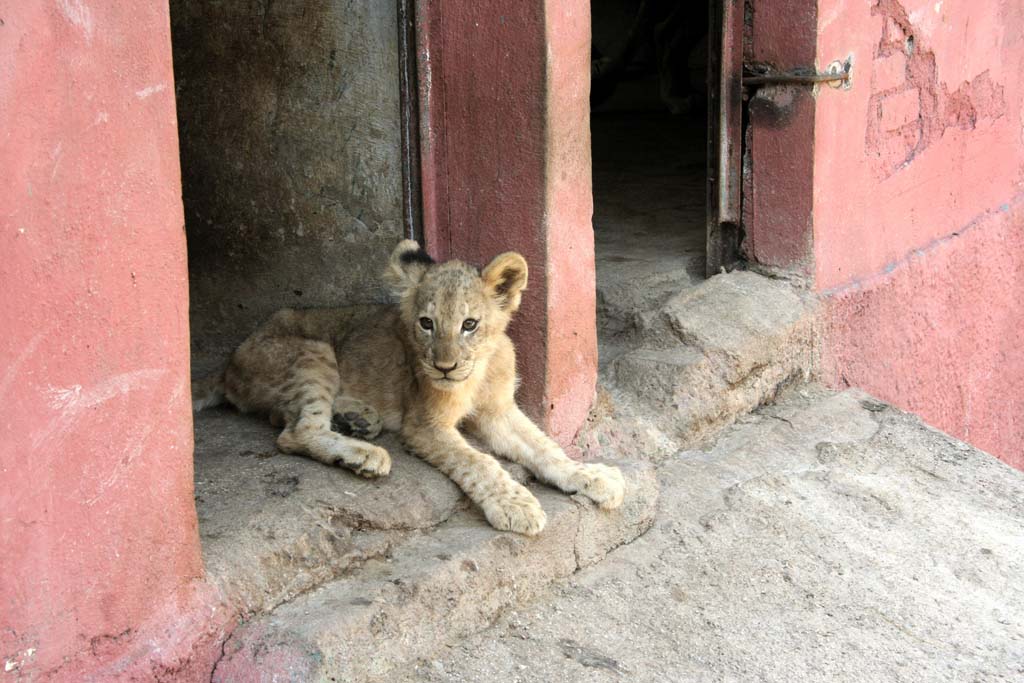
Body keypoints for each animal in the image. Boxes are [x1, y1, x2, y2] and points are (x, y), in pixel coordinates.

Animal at [192, 240, 625, 535]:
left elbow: (545, 447)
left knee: (282, 416)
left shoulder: (498, 410)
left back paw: (358, 419)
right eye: (426, 323)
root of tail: (229, 361)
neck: (479, 369)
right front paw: (516, 505)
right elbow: (479, 462)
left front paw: (592, 476)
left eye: (469, 324)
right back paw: (362, 454)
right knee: (295, 431)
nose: (444, 368)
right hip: (313, 349)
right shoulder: (425, 423)